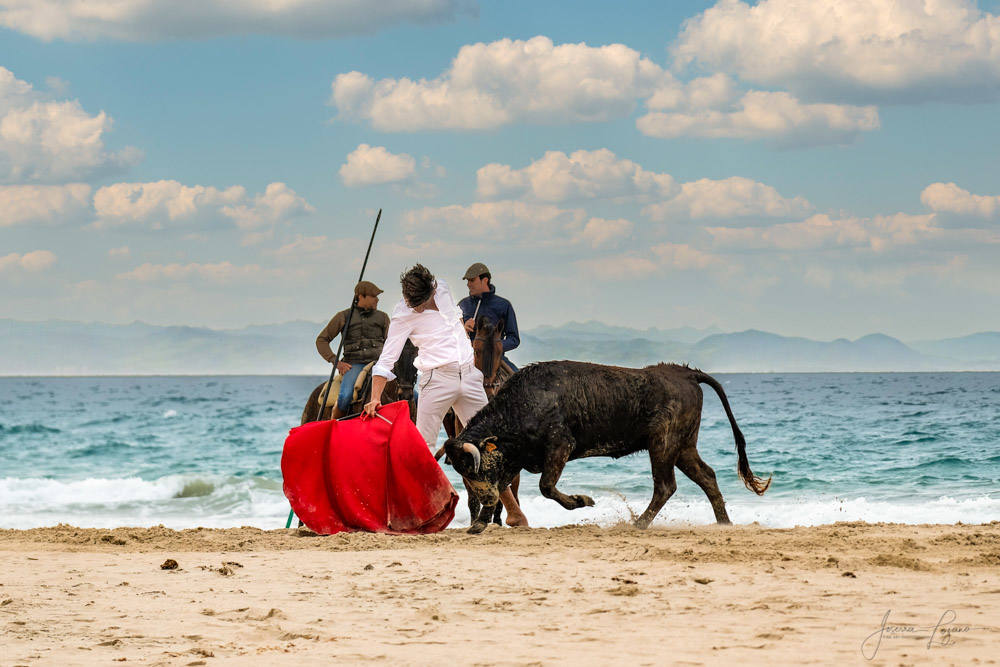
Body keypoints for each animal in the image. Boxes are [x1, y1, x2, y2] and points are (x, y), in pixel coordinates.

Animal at [442, 362, 768, 536]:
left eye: (474, 467)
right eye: (461, 471)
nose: (482, 497)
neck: (522, 403)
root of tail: (684, 373)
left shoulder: (560, 446)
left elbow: (546, 486)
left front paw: (582, 501)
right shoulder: (515, 458)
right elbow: (504, 486)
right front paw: (479, 524)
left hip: (663, 445)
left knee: (665, 486)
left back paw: (638, 524)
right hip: (683, 447)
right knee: (707, 477)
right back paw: (724, 523)